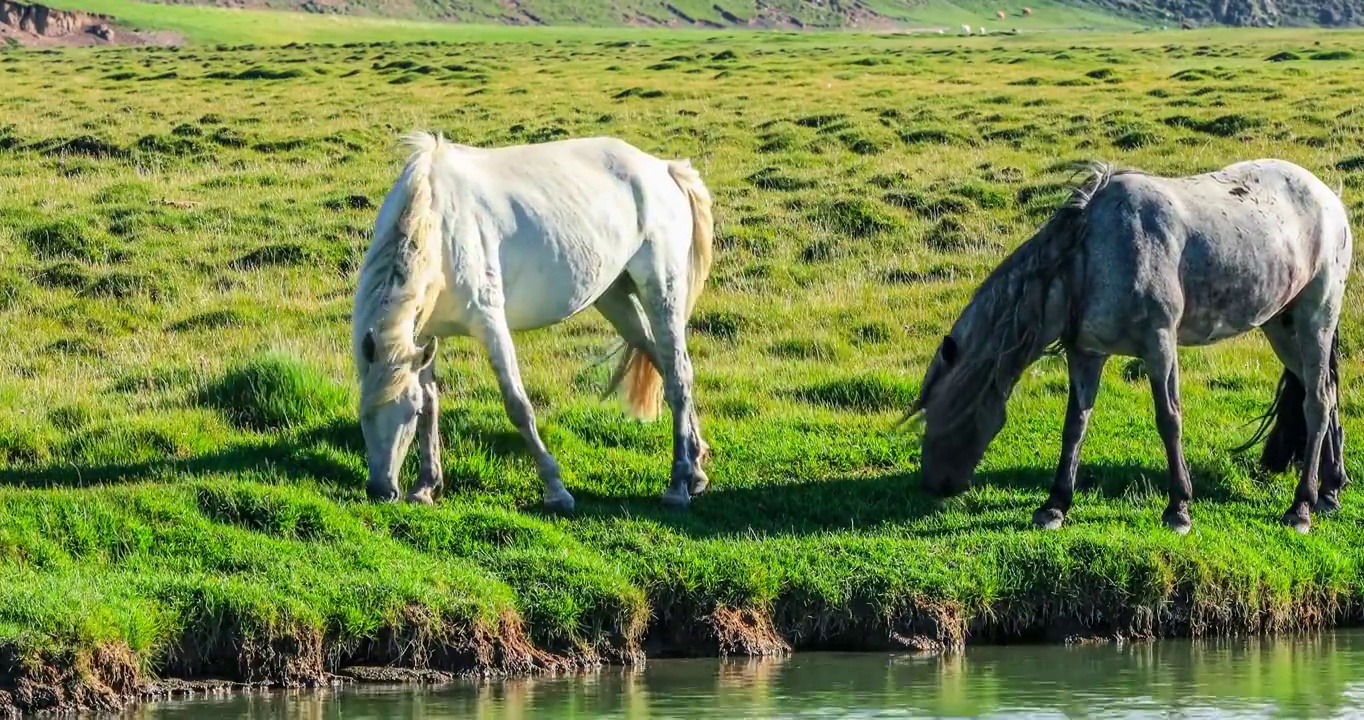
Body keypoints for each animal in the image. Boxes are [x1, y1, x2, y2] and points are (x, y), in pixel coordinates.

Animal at [349, 130, 714, 512]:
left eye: (408, 413)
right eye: (364, 413)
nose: (381, 490)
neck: (438, 226)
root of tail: (665, 168)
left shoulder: (490, 324)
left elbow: (518, 406)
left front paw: (556, 489)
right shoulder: (424, 337)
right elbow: (433, 404)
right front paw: (425, 486)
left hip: (662, 290)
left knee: (678, 376)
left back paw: (678, 484)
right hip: (616, 299)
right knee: (662, 363)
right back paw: (696, 467)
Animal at [905, 160, 1353, 537]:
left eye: (939, 414)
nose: (933, 485)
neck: (1091, 257)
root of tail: (1327, 195)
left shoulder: (1159, 344)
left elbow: (1169, 420)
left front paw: (1179, 508)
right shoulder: (1086, 354)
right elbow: (1075, 425)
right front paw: (1054, 505)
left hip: (1315, 319)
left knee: (1316, 402)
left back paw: (1301, 508)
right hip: (1281, 326)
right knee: (1325, 395)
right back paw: (1330, 491)